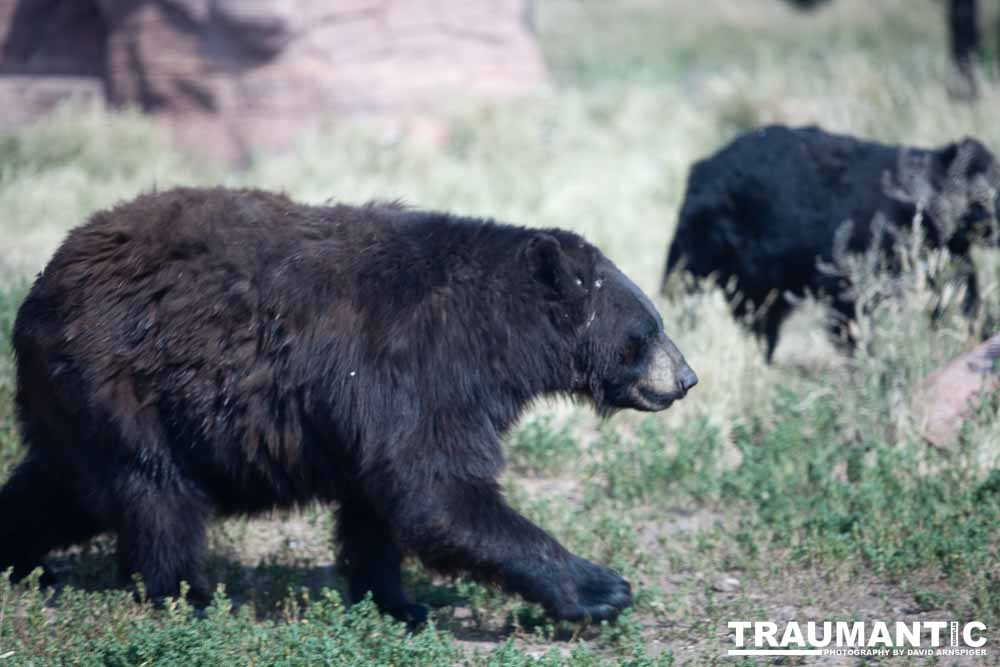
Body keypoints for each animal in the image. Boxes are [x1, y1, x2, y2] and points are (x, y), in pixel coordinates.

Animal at [0, 185, 700, 624]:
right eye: (648, 330)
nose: (687, 377)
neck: (496, 336)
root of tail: (45, 283)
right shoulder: (419, 368)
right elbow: (439, 492)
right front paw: (601, 587)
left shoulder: (375, 408)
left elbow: (381, 504)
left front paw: (399, 602)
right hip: (126, 380)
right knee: (158, 496)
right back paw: (189, 597)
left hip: (77, 401)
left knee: (65, 486)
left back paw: (25, 559)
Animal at [660, 124, 996, 360]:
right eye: (985, 198)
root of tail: (698, 172)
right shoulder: (849, 271)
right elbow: (848, 325)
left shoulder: (945, 257)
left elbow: (963, 297)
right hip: (718, 259)